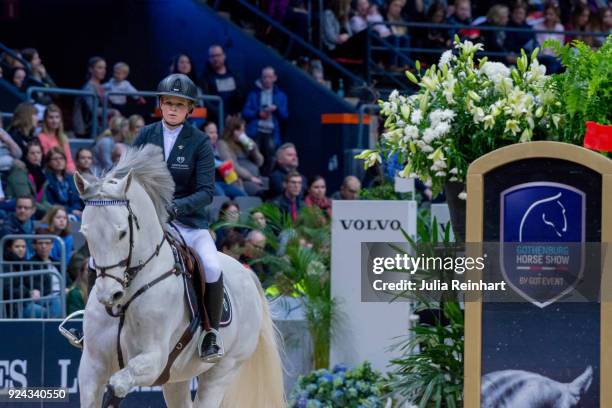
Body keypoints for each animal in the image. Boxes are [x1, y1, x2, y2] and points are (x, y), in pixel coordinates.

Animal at [71, 145, 284, 406]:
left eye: (121, 233)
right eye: (85, 233)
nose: (108, 296)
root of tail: (249, 275)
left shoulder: (154, 359)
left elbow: (117, 386)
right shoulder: (92, 365)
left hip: (222, 370)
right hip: (176, 378)